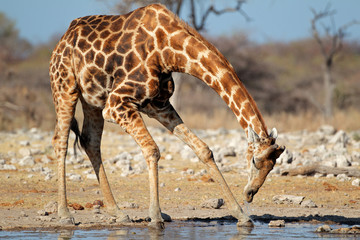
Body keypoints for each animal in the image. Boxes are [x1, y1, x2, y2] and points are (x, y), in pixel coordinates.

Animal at [50, 3, 286, 229]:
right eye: (255, 160)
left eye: (272, 166)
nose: (250, 194)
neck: (170, 52)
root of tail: (62, 39)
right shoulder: (117, 104)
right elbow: (152, 149)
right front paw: (155, 217)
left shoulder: (158, 104)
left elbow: (203, 150)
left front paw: (242, 216)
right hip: (65, 87)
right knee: (61, 141)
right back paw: (65, 215)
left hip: (93, 98)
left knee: (90, 141)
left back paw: (117, 212)